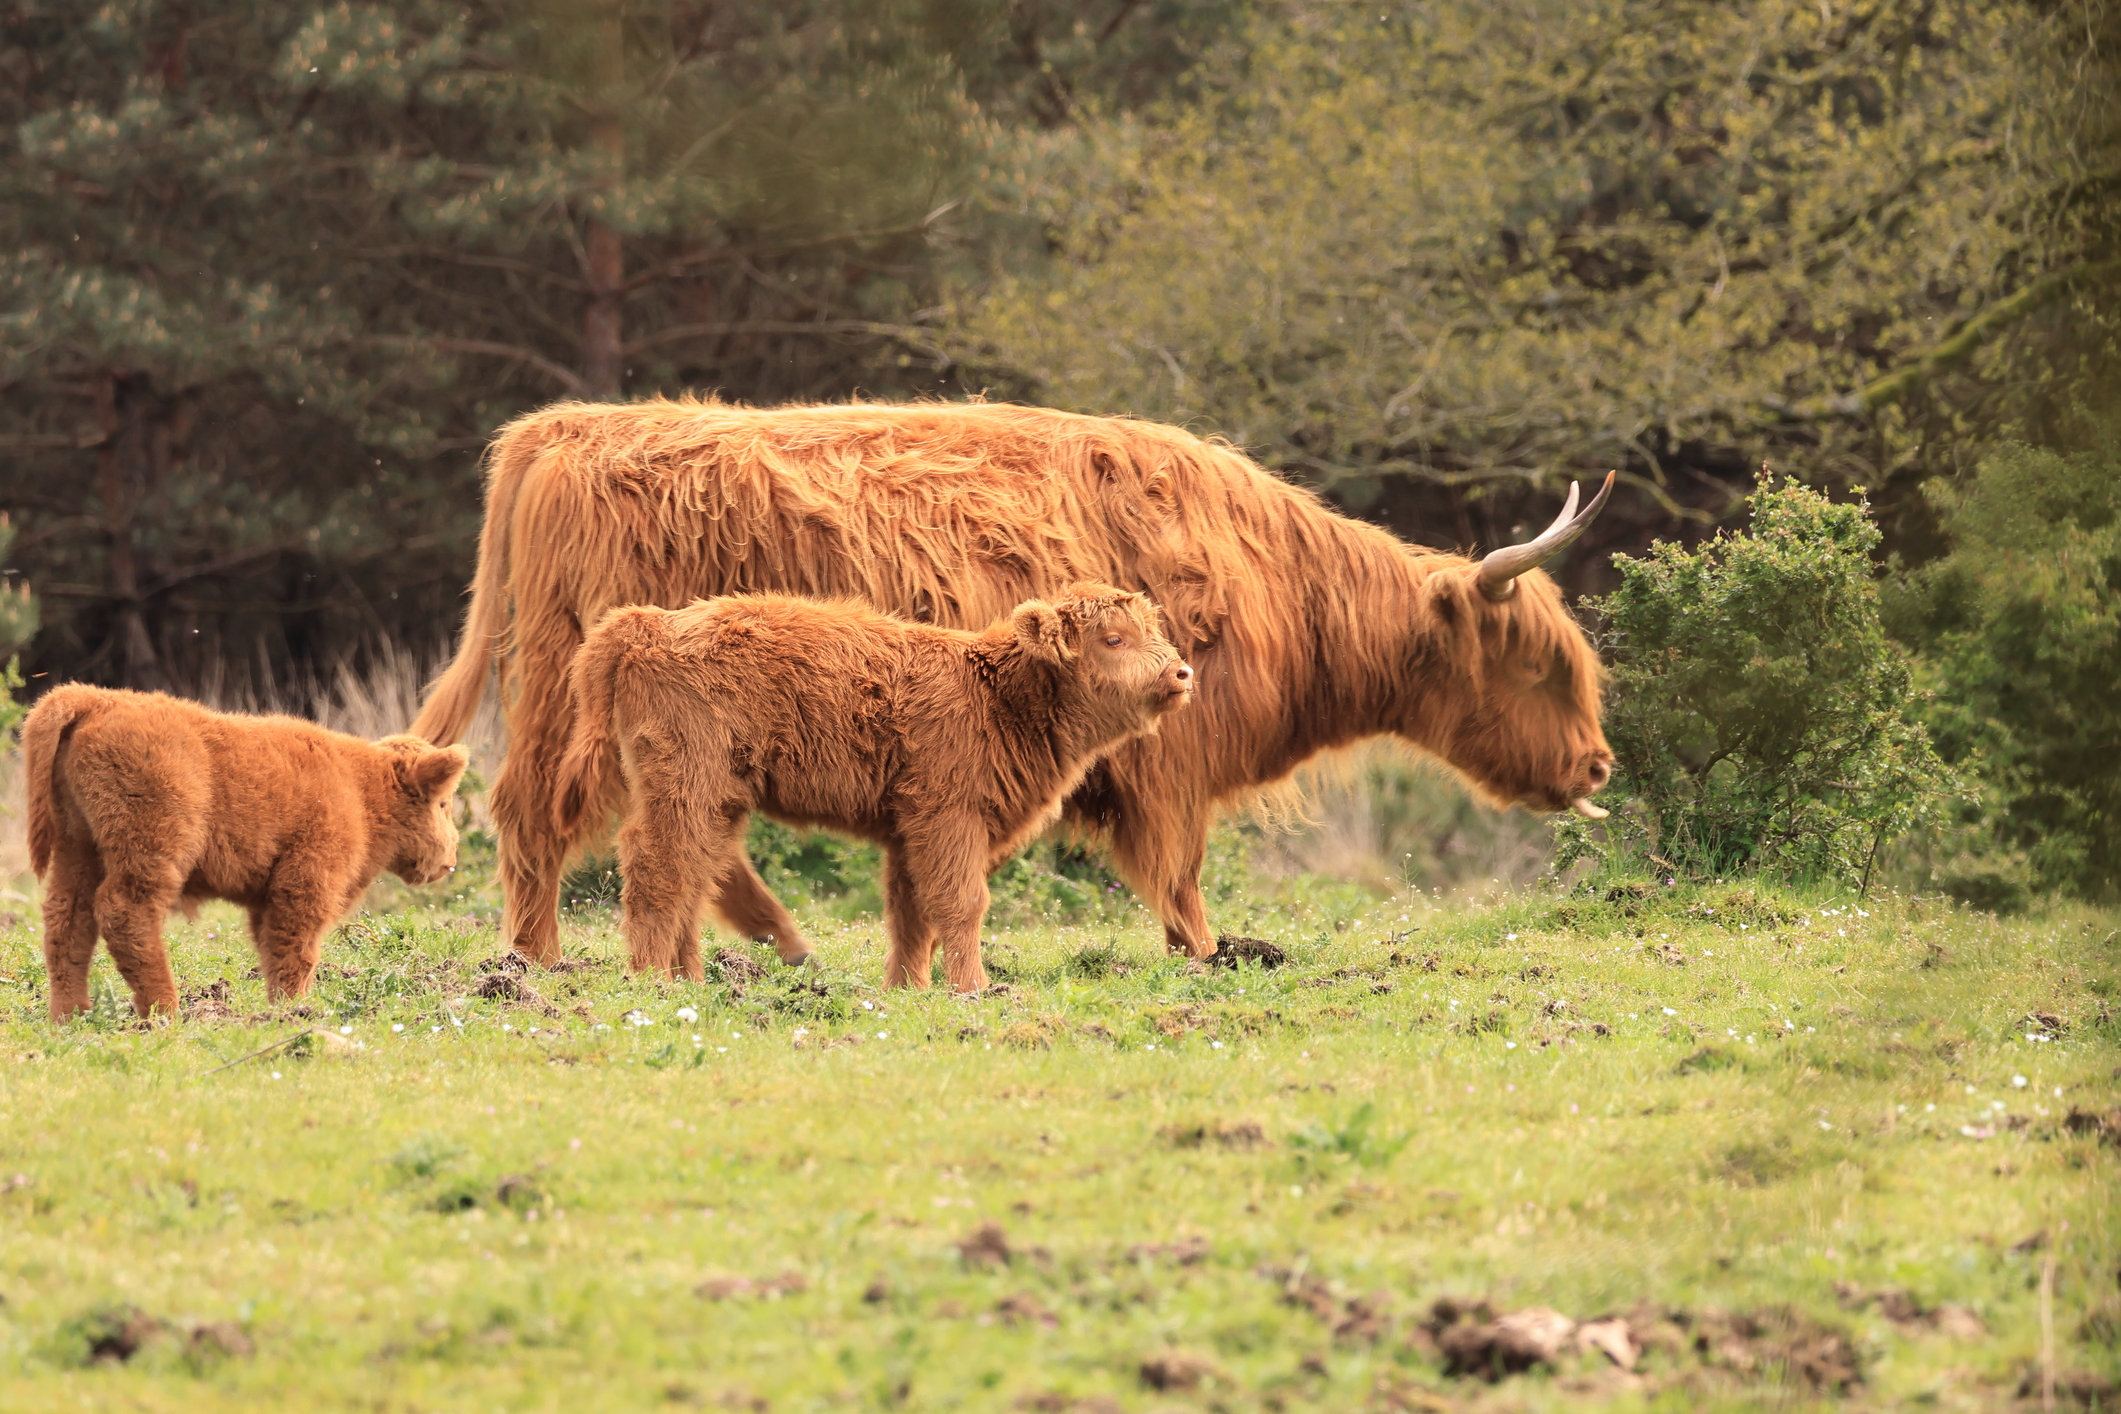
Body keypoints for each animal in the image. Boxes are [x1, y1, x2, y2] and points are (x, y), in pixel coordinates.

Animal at [25, 682, 464, 1021]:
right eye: (443, 803)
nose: (451, 860)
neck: (361, 787)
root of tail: (97, 698)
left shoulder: (268, 896)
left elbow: (272, 949)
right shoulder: (306, 879)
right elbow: (295, 949)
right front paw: (293, 1010)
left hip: (77, 848)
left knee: (67, 919)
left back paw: (69, 1016)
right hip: (149, 850)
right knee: (125, 913)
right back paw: (166, 1012)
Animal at [551, 580, 1196, 992]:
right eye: (1112, 639)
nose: (1182, 672)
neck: (992, 694)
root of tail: (649, 622)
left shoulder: (908, 830)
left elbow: (910, 911)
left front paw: (907, 990)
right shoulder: (946, 817)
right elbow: (961, 903)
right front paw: (974, 989)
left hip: (716, 799)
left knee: (695, 872)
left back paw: (690, 979)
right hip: (687, 785)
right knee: (657, 865)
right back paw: (651, 980)